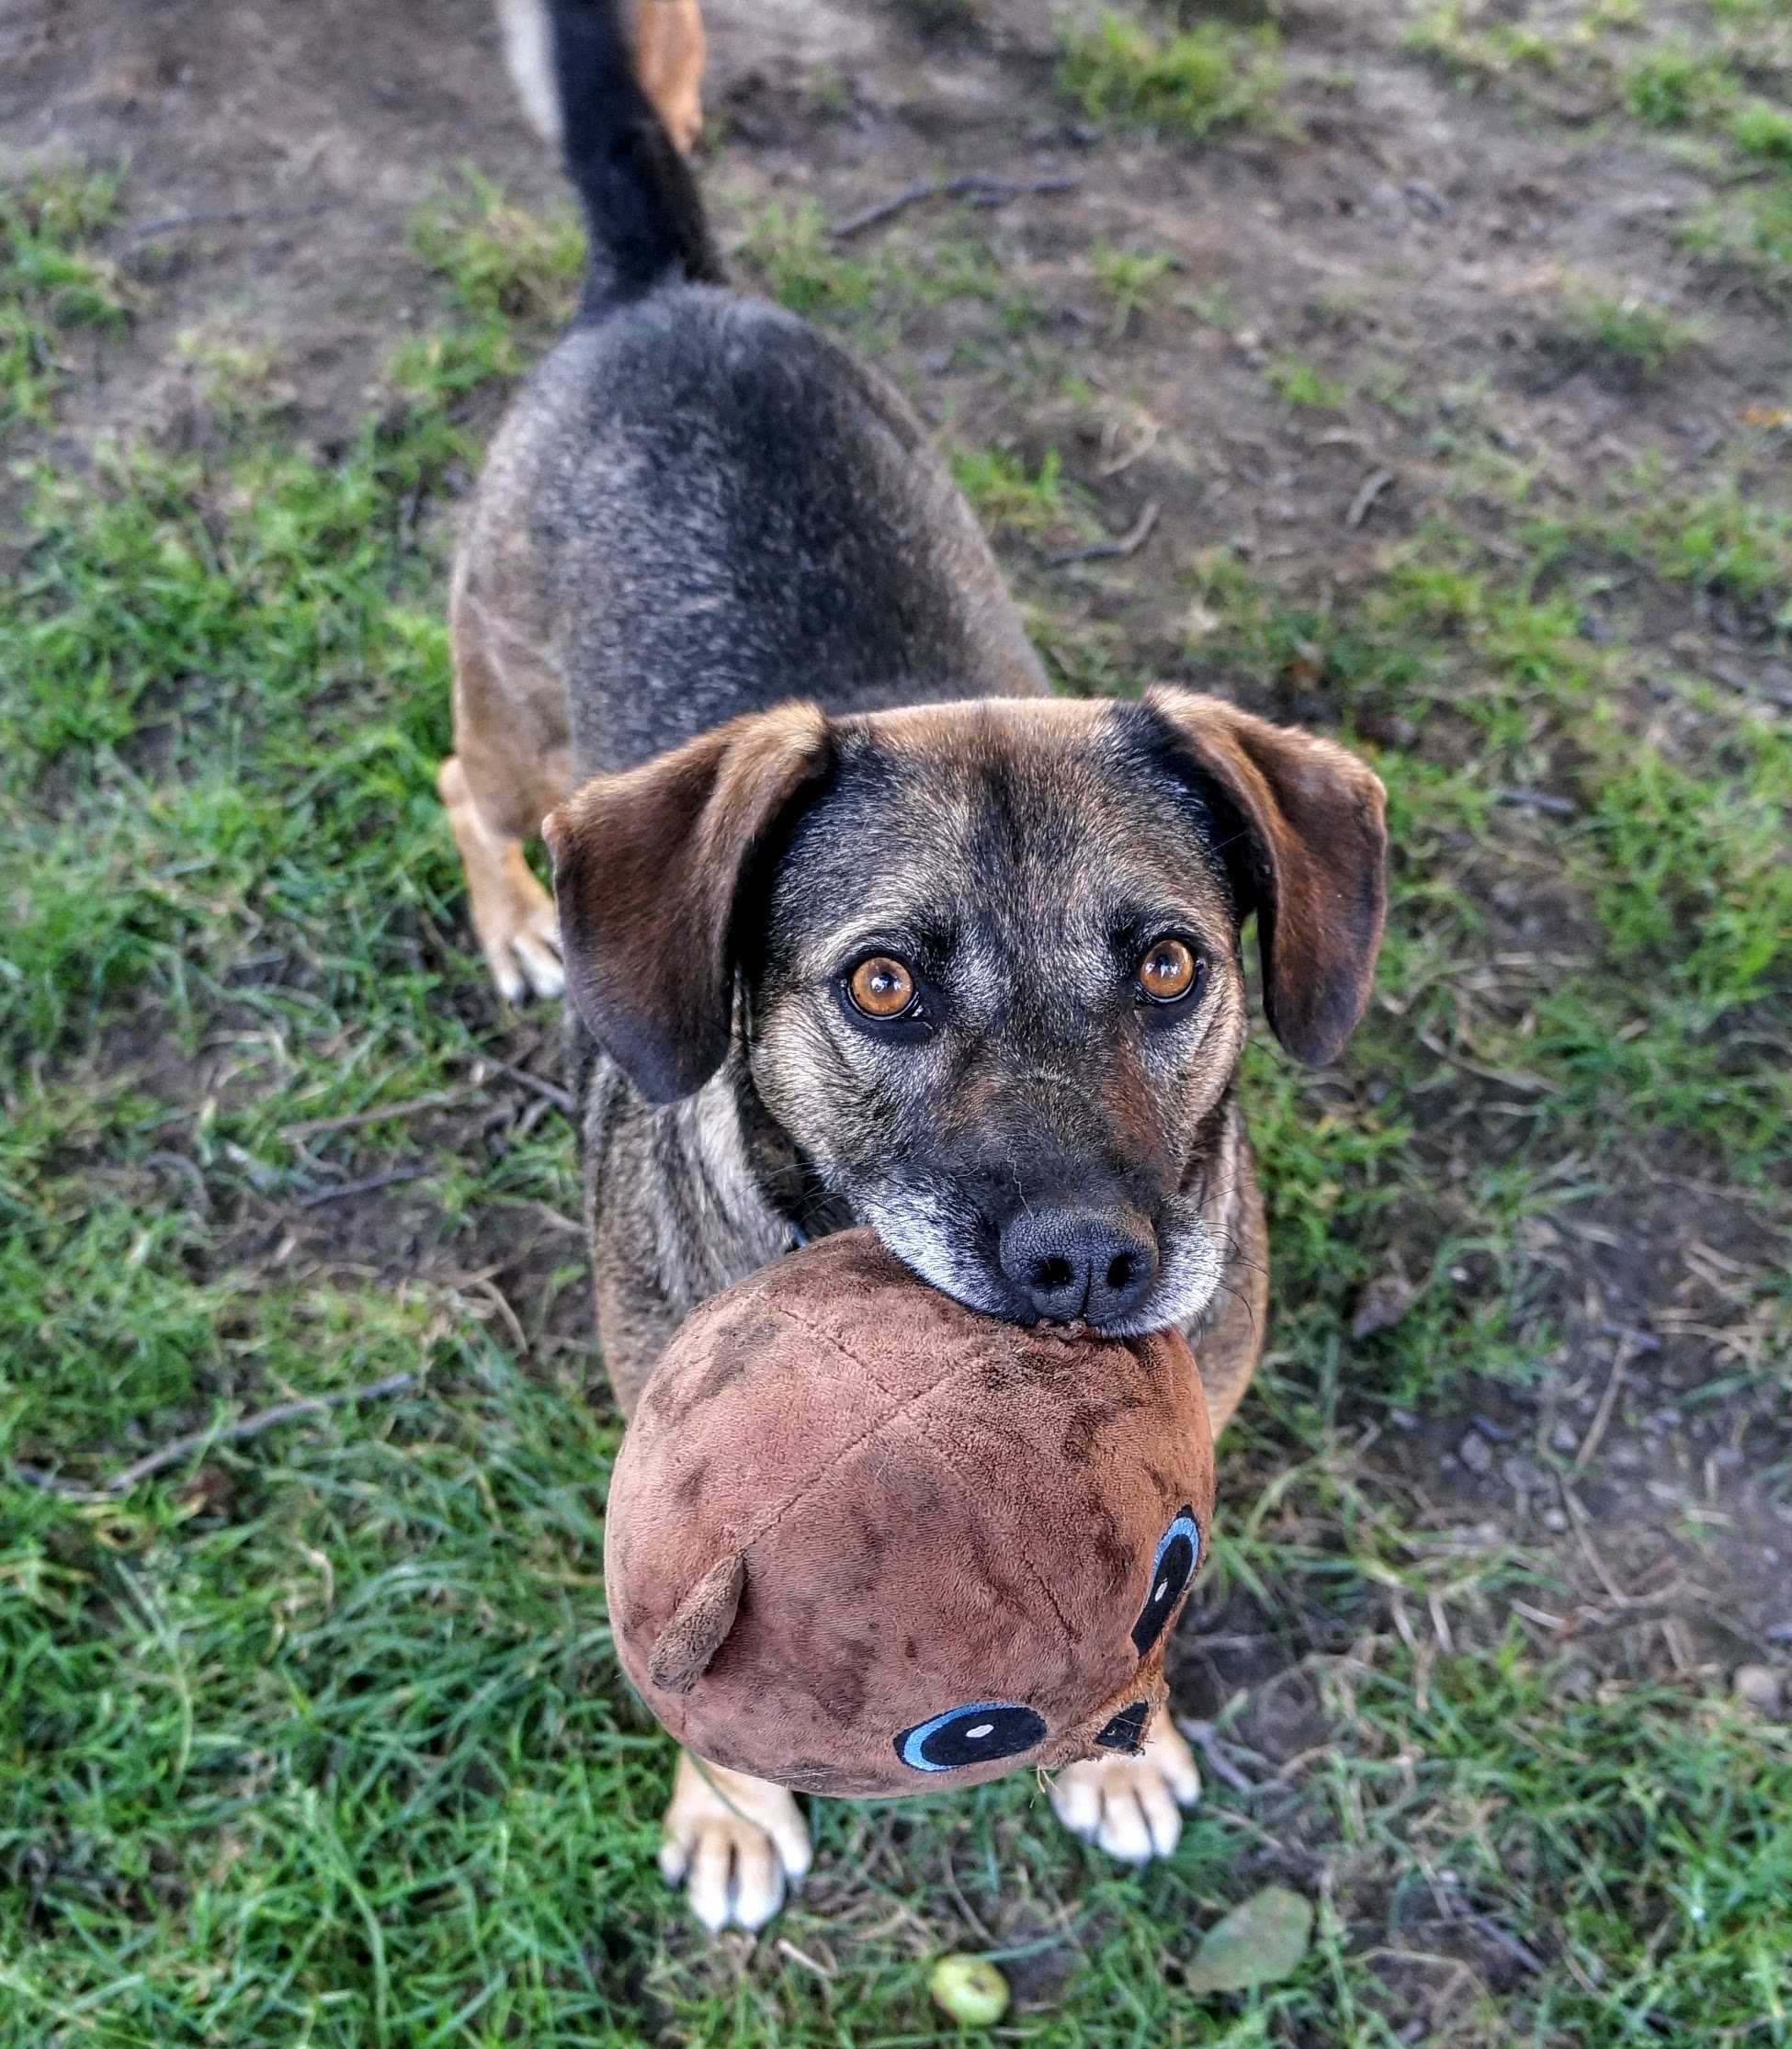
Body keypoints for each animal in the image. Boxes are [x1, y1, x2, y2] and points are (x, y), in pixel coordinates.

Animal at [442, 0, 1386, 1926]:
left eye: (1171, 966)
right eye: (882, 984)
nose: (1092, 1266)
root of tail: (669, 285)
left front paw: (1125, 1743)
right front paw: (733, 1805)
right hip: (505, 724)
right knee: (457, 781)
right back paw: (516, 922)